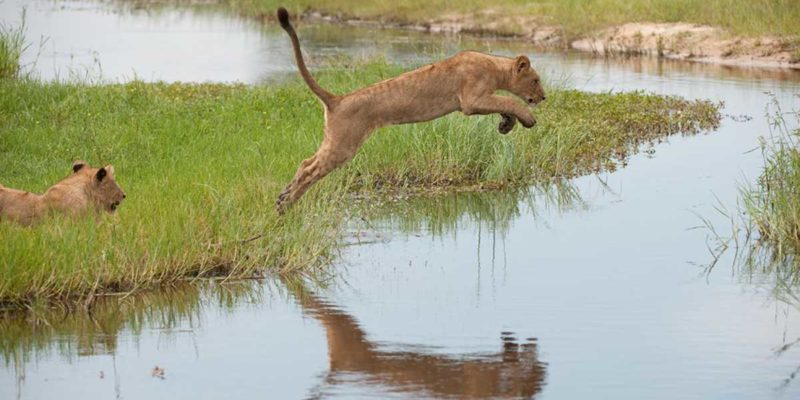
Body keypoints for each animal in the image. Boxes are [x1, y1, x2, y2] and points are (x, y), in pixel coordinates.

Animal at [275, 7, 546, 213]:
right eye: (535, 80)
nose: (544, 97)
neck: (495, 67)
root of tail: (337, 100)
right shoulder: (470, 100)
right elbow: (509, 101)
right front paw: (527, 118)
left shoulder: (480, 99)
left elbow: (503, 104)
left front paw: (506, 125)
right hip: (344, 144)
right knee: (310, 169)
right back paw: (286, 205)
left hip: (334, 140)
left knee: (305, 162)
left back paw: (283, 196)